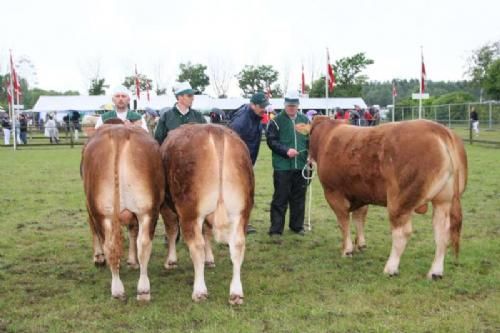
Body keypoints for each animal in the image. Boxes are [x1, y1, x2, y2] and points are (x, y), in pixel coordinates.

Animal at [81, 123, 165, 300]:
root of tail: (119, 132)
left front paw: (98, 258)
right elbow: (133, 232)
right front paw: (132, 261)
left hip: (104, 213)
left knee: (112, 245)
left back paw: (120, 289)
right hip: (146, 210)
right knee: (142, 244)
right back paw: (141, 290)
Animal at [160, 122, 254, 304]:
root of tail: (215, 131)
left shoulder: (166, 208)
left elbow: (172, 231)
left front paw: (171, 261)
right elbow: (208, 233)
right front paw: (210, 259)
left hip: (190, 212)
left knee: (196, 246)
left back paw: (199, 290)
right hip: (242, 211)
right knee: (238, 245)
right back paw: (236, 292)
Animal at [308, 118, 468, 278]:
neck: (326, 136)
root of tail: (438, 129)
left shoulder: (333, 193)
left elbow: (343, 222)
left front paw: (347, 250)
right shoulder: (361, 194)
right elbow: (359, 218)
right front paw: (361, 244)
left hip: (399, 201)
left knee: (402, 233)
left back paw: (390, 268)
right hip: (443, 200)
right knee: (442, 231)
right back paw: (435, 272)